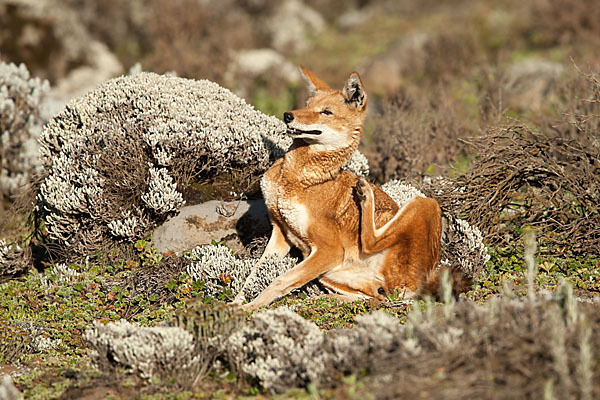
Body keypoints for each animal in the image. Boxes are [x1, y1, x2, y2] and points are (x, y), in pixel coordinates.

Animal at [234, 66, 460, 310]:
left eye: (326, 112)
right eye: (306, 104)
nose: (288, 115)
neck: (297, 177)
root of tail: (422, 285)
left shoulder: (329, 249)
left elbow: (279, 280)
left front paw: (248, 309)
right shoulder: (280, 234)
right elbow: (253, 276)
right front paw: (235, 303)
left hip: (424, 203)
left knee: (370, 243)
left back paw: (365, 193)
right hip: (330, 274)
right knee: (375, 298)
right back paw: (323, 299)